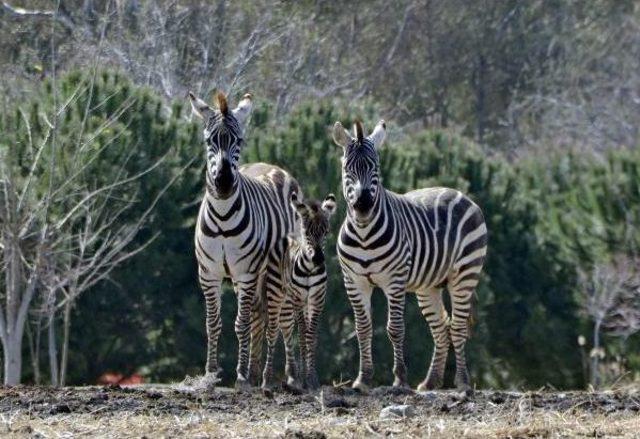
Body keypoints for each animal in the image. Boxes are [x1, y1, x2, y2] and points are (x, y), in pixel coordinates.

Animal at [189, 92, 302, 388]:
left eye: (238, 141)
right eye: (210, 141)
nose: (224, 183)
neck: (222, 217)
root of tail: (274, 167)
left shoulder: (245, 271)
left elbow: (240, 323)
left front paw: (239, 374)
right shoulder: (209, 273)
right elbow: (213, 323)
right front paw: (212, 373)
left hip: (276, 272)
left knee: (282, 320)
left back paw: (287, 376)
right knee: (258, 316)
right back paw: (254, 371)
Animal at [262, 193, 338, 392]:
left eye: (326, 232)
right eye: (307, 232)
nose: (318, 259)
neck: (310, 270)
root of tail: (288, 235)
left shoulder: (317, 300)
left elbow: (311, 336)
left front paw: (311, 378)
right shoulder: (298, 299)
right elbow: (303, 335)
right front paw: (306, 378)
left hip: (292, 302)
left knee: (287, 329)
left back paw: (293, 377)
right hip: (277, 294)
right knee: (273, 331)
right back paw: (267, 380)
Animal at [332, 119, 488, 392]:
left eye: (376, 167)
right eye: (347, 168)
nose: (362, 206)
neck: (363, 234)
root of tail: (457, 192)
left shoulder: (394, 281)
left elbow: (395, 328)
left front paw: (400, 379)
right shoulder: (354, 281)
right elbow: (363, 329)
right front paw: (363, 379)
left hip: (465, 274)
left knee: (457, 327)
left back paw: (462, 382)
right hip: (429, 286)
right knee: (441, 328)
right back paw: (430, 382)